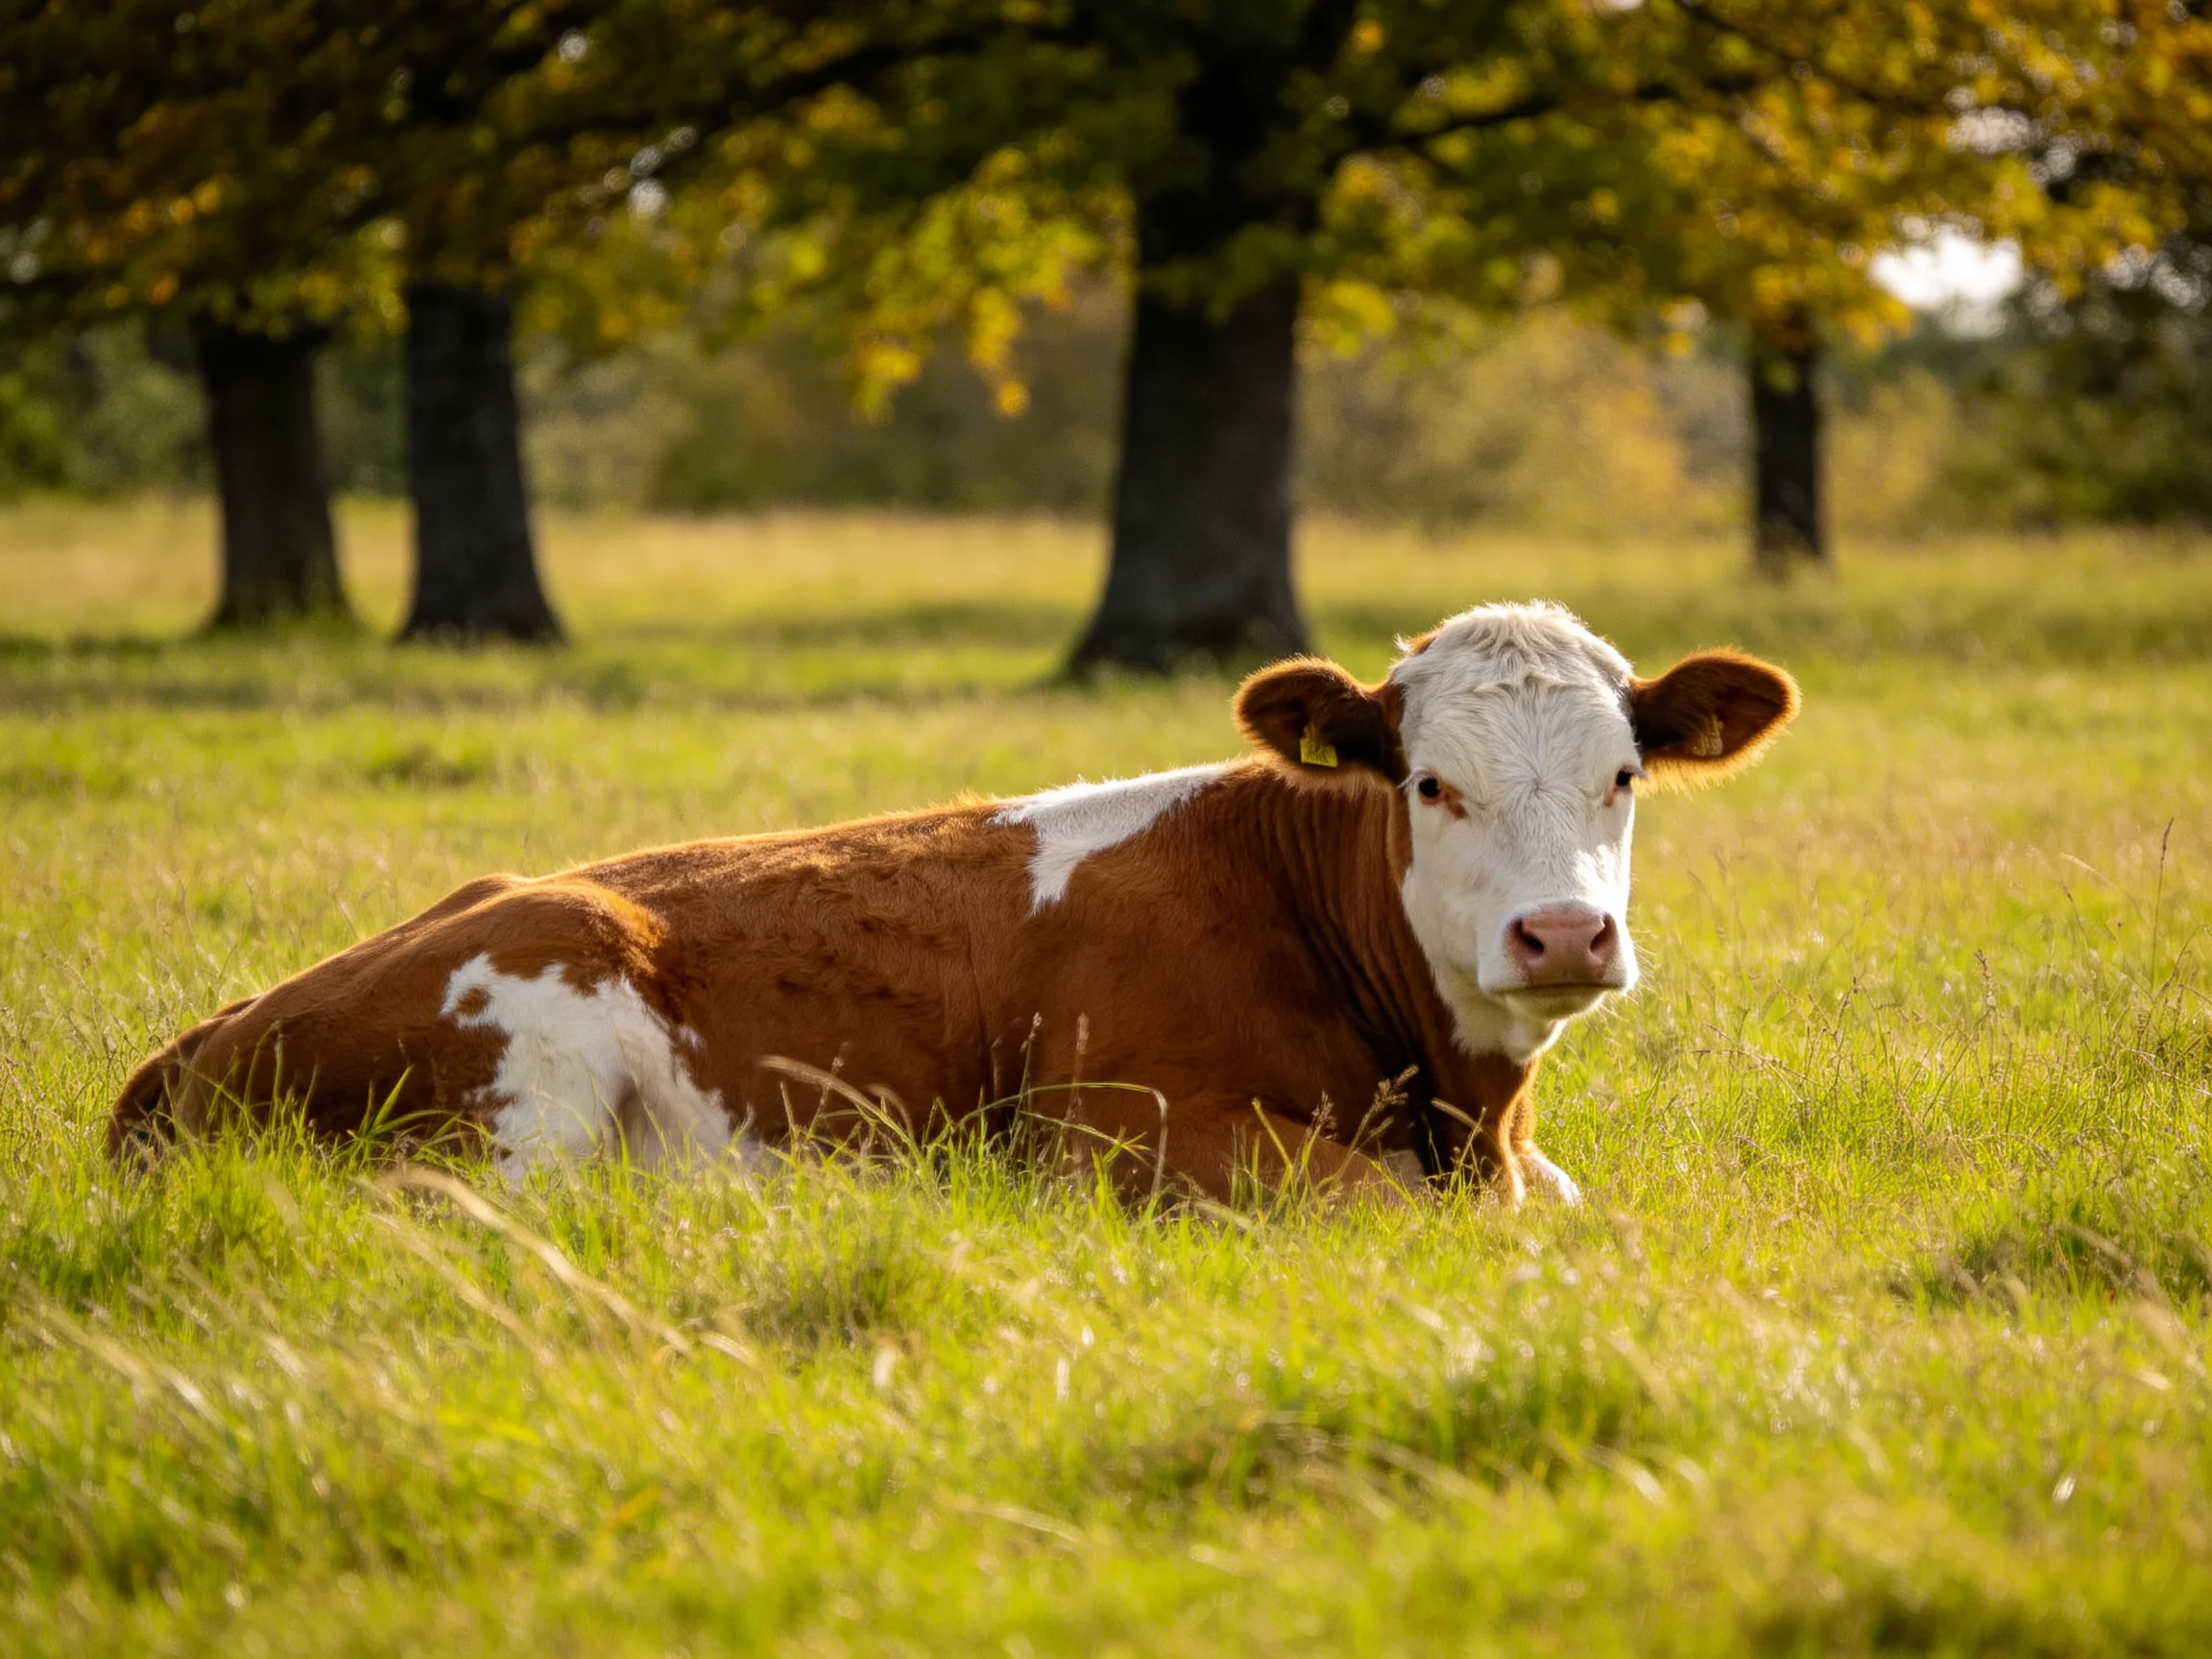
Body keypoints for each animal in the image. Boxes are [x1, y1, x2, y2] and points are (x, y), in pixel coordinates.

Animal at [109, 602, 1798, 1205]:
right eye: (1431, 786)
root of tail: (205, 1037)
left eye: (1625, 779)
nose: (1564, 936)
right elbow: (1386, 1208)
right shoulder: (1117, 1131)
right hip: (530, 1062)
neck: (1461, 1105)